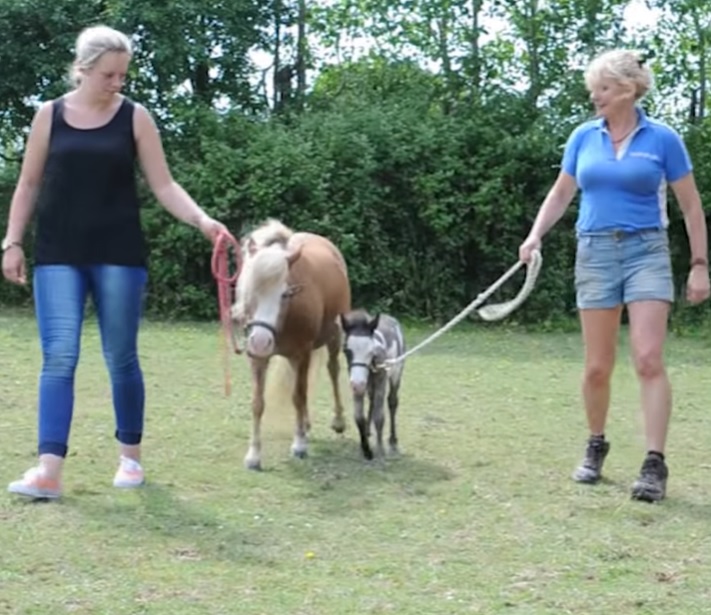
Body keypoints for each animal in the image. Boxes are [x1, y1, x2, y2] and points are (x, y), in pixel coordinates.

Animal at [232, 219, 352, 470]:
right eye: (250, 290)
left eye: (285, 294)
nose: (260, 341)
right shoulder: (258, 358)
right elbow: (258, 403)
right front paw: (254, 455)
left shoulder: (302, 353)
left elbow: (298, 396)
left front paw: (299, 445)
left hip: (334, 336)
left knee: (333, 370)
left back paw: (338, 420)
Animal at [340, 310, 406, 460]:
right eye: (346, 350)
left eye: (371, 351)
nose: (358, 384)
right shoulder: (356, 384)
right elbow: (359, 417)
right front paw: (366, 450)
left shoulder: (381, 381)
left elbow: (379, 417)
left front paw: (380, 449)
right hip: (369, 384)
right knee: (371, 400)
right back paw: (368, 431)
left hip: (396, 373)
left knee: (392, 402)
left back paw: (393, 440)